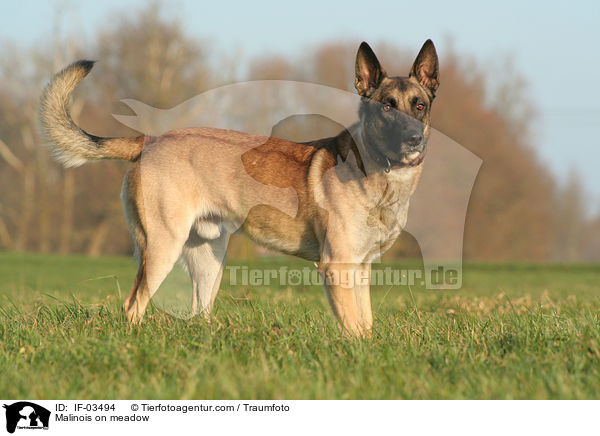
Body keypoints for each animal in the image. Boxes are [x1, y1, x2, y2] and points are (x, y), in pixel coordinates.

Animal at [39, 39, 438, 336]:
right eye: (386, 107)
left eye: (419, 106)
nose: (414, 140)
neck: (379, 174)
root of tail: (150, 140)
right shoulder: (337, 266)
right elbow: (354, 326)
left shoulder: (361, 267)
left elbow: (366, 323)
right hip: (161, 248)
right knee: (132, 306)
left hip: (209, 258)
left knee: (197, 314)